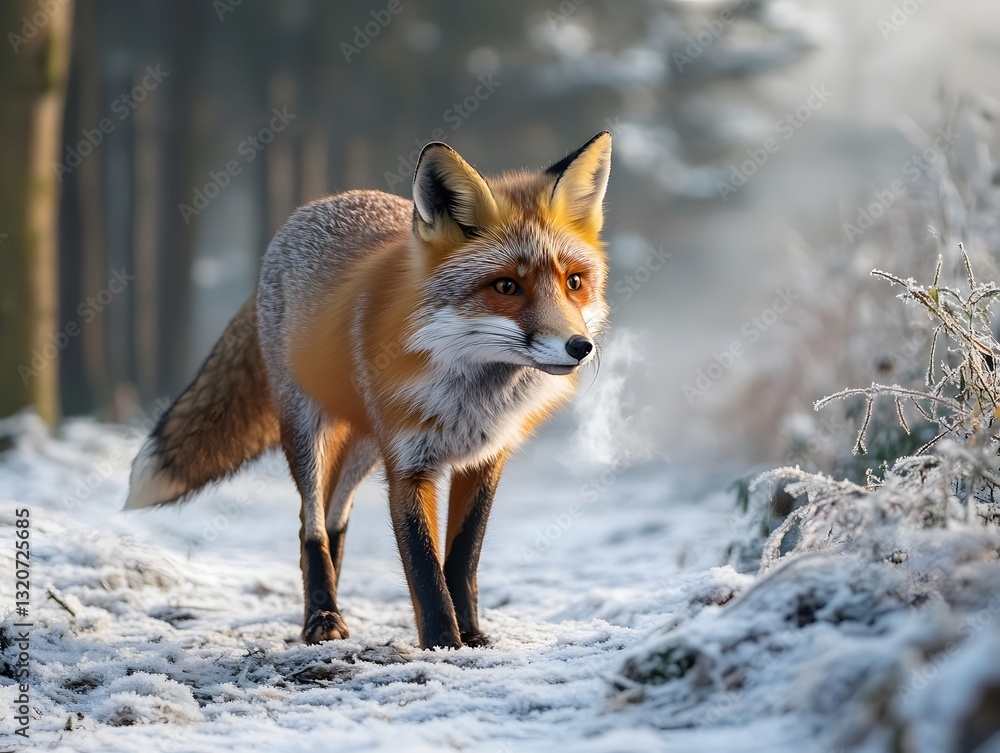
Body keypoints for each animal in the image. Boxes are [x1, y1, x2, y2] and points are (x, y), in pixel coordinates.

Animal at [125, 131, 612, 649]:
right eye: (506, 287)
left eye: (574, 282)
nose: (580, 347)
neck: (472, 399)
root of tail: (318, 204)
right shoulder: (409, 464)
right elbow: (425, 568)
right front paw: (443, 642)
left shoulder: (483, 460)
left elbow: (462, 559)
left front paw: (472, 634)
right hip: (309, 431)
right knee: (311, 525)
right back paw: (321, 619)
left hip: (364, 446)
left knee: (335, 519)